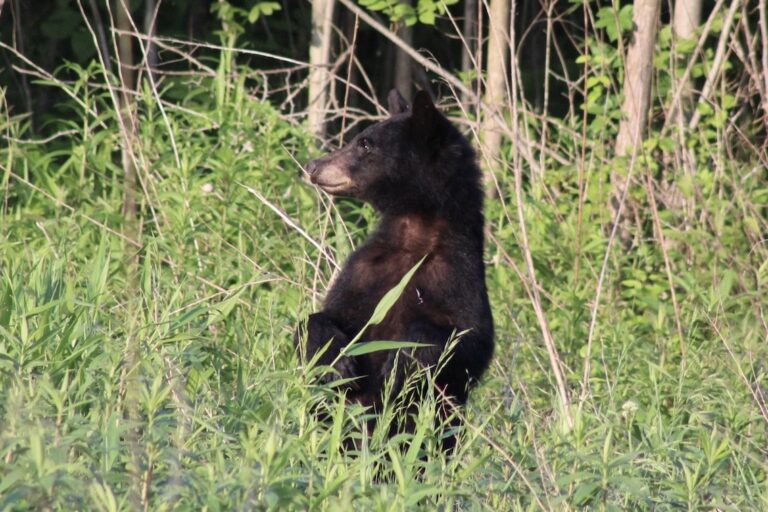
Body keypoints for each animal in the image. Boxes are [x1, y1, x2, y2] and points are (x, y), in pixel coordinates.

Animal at [295, 89, 494, 450]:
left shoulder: (457, 275)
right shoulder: (364, 271)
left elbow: (468, 339)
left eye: (365, 143)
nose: (314, 165)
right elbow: (324, 315)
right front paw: (338, 361)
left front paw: (401, 364)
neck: (416, 235)